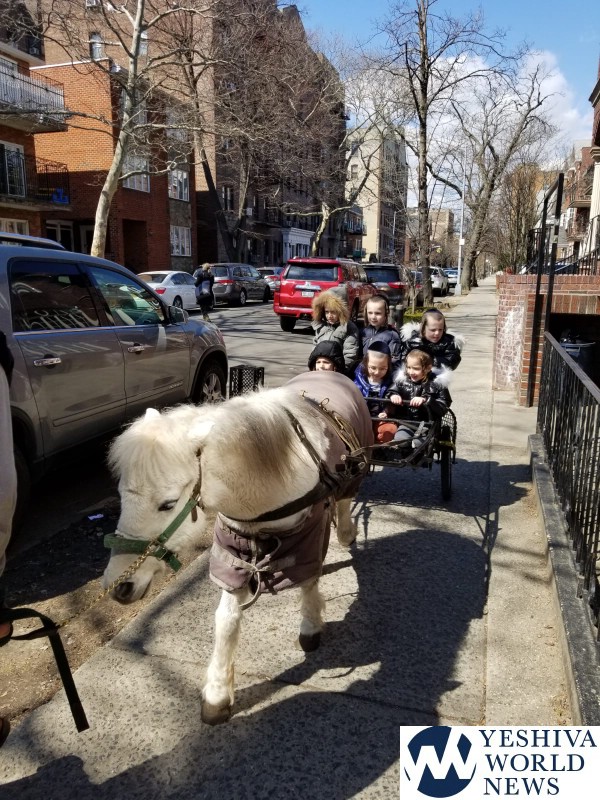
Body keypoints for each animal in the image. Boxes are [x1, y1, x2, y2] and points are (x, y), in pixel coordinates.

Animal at [102, 371, 373, 725]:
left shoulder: (310, 532)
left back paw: (346, 531)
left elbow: (308, 581)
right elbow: (226, 618)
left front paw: (311, 626)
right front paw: (217, 693)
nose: (119, 586)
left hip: (353, 472)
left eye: (168, 504)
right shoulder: (233, 550)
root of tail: (329, 371)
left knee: (344, 502)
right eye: (121, 496)